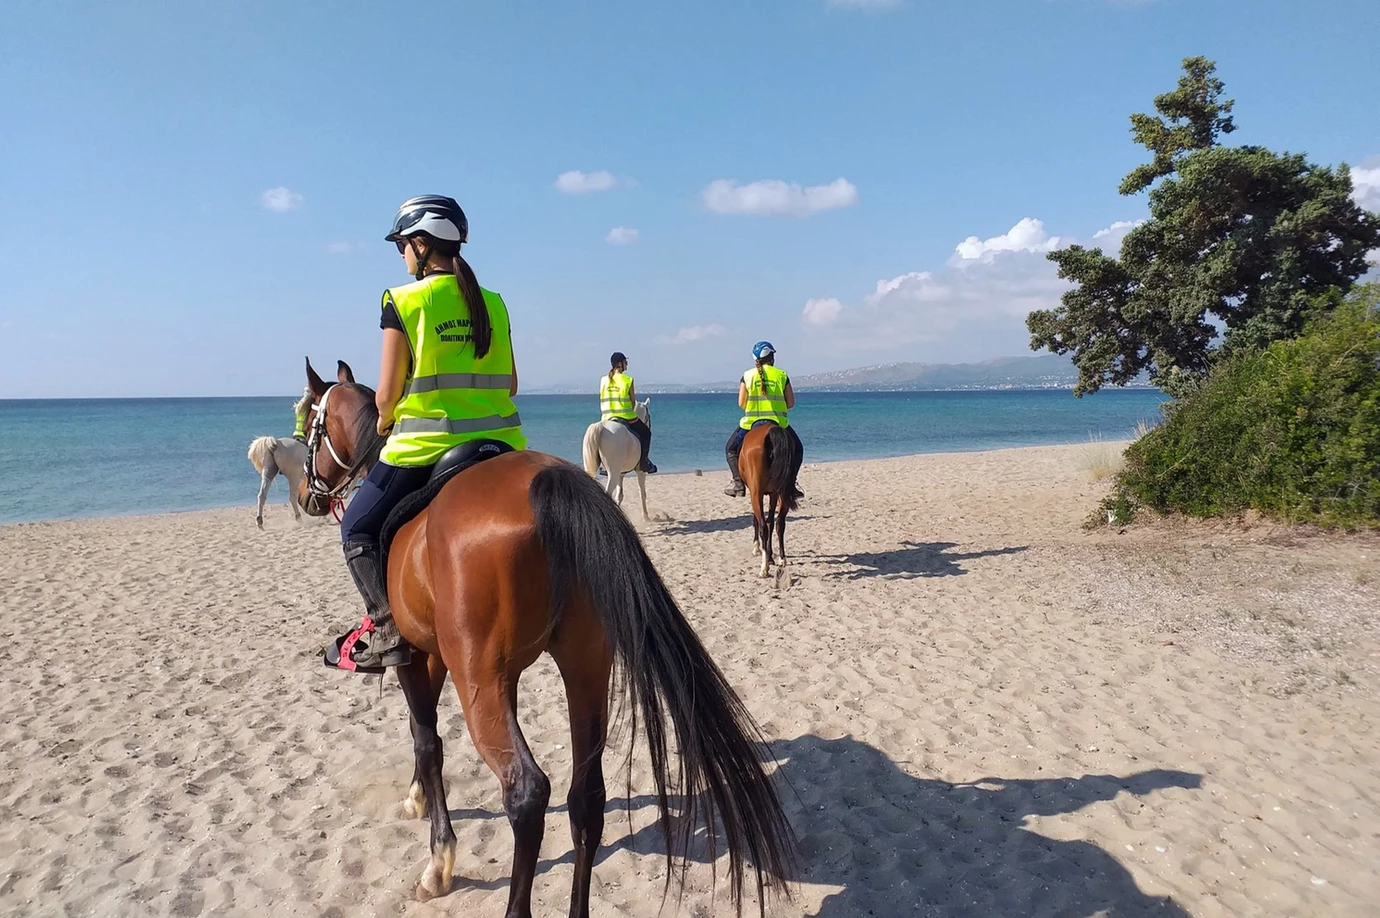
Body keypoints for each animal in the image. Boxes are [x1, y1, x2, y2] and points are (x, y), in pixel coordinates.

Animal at [734, 419, 800, 574]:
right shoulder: (773, 494)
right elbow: (771, 521)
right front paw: (770, 556)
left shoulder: (754, 492)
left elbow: (757, 520)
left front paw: (757, 549)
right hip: (783, 491)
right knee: (779, 522)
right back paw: (781, 558)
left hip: (756, 493)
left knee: (763, 526)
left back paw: (764, 568)